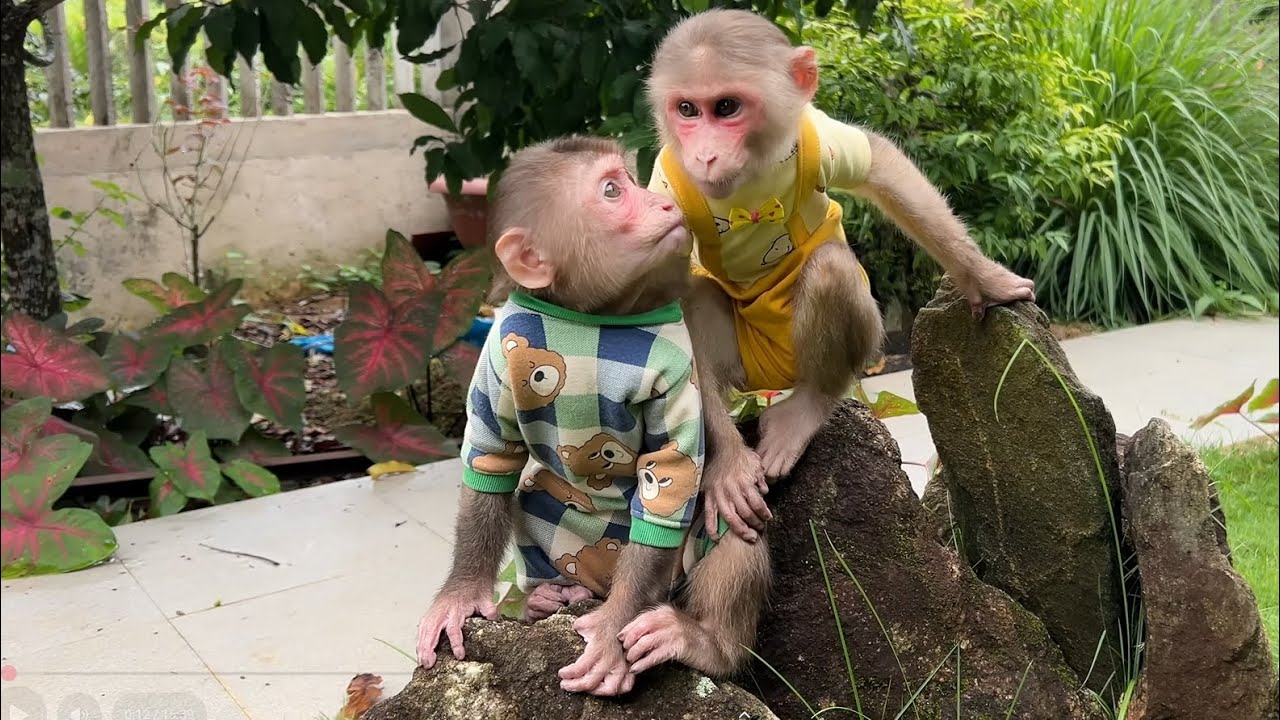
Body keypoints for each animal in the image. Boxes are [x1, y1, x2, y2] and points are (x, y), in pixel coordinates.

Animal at [415, 135, 708, 698]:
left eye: (631, 181)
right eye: (614, 191)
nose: (664, 203)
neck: (591, 315)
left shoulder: (679, 366)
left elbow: (668, 475)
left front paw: (613, 629)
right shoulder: (500, 346)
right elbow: (493, 457)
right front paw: (462, 594)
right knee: (537, 491)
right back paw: (547, 596)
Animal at [610, 8, 1039, 678]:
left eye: (726, 107)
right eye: (686, 110)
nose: (703, 151)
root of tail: (771, 382)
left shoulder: (814, 136)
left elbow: (883, 166)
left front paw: (984, 279)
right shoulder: (667, 192)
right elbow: (674, 299)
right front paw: (727, 467)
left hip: (826, 347)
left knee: (833, 275)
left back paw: (810, 405)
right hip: (745, 362)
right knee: (700, 297)